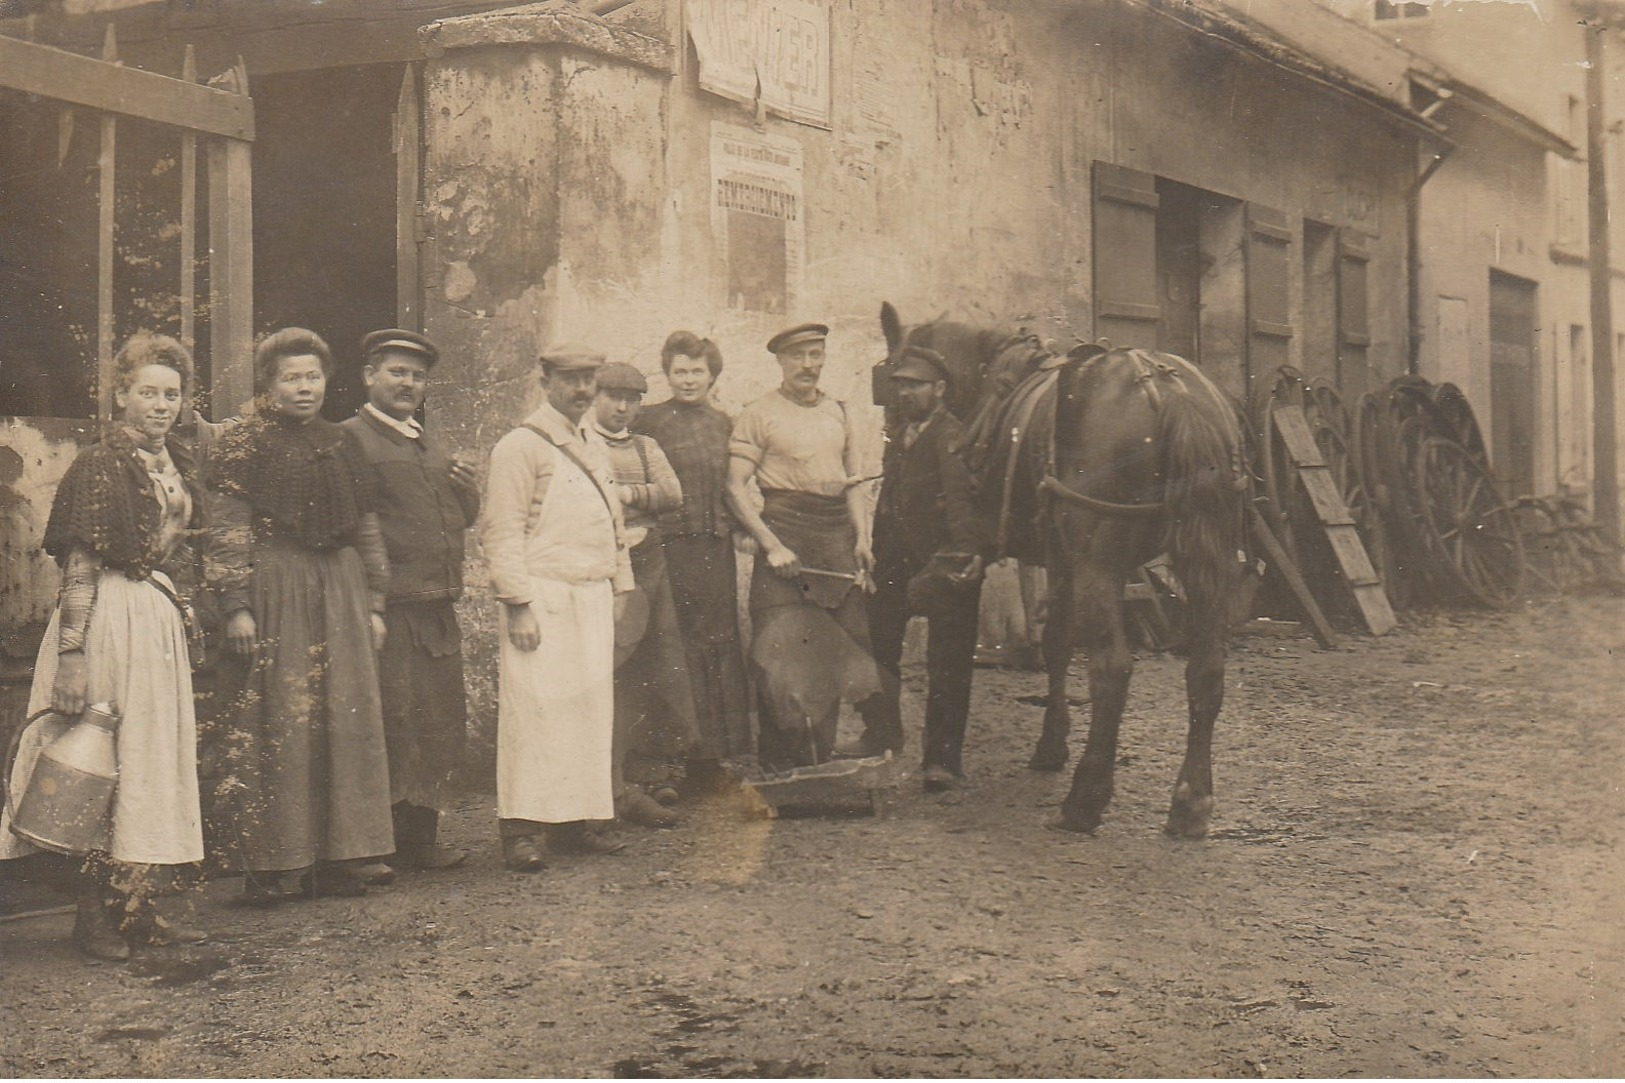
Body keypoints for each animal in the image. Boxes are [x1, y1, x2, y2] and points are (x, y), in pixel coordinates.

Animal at [877, 304, 1241, 832]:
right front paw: (1051, 745)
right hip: (1206, 558)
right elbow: (1055, 645)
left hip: (1101, 563)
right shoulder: (1061, 561)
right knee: (1207, 671)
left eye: (887, 381)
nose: (891, 458)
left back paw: (1085, 799)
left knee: (1112, 669)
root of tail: (1167, 388)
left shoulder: (1074, 562)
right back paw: (1191, 801)